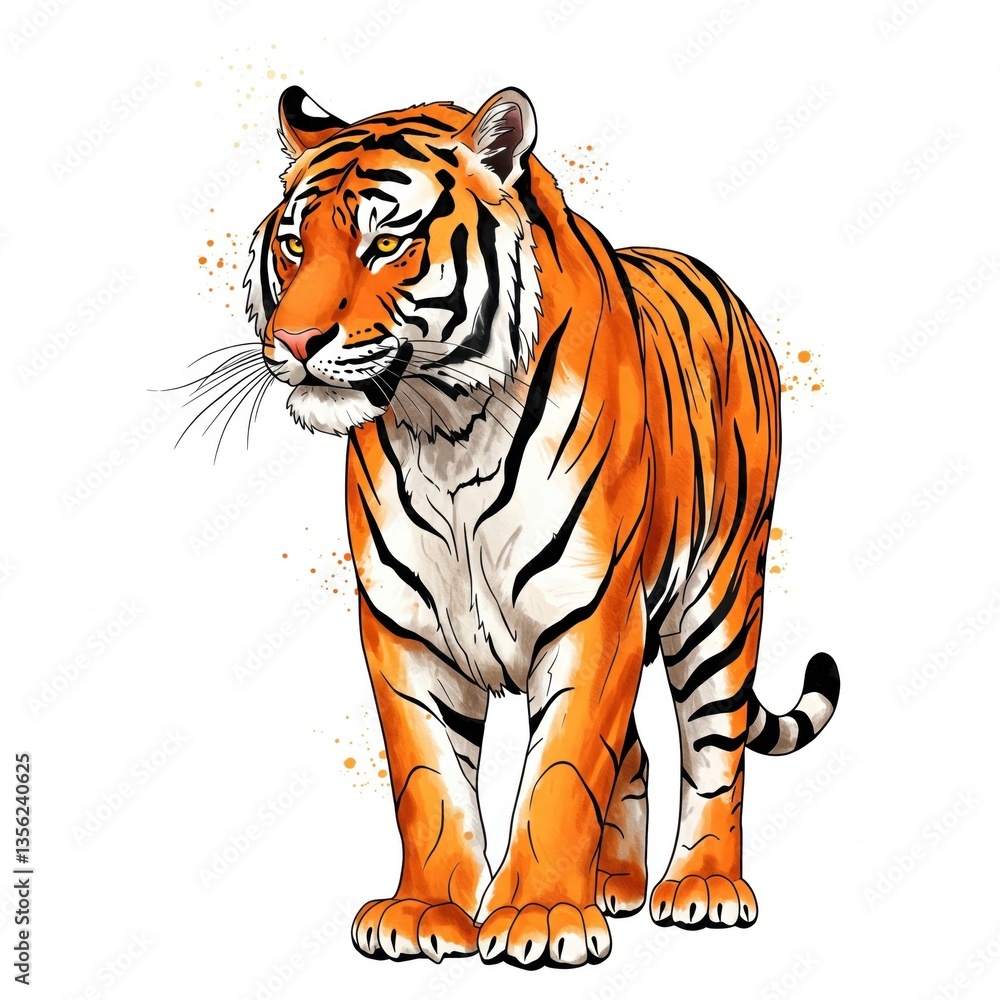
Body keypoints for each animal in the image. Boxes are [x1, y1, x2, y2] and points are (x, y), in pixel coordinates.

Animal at [239, 84, 841, 968]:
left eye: (386, 241)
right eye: (291, 246)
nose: (294, 340)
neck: (444, 427)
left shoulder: (595, 610)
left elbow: (562, 769)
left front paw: (543, 918)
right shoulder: (403, 624)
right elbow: (427, 778)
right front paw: (424, 913)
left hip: (720, 594)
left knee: (714, 748)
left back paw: (701, 888)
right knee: (640, 748)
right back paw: (617, 886)